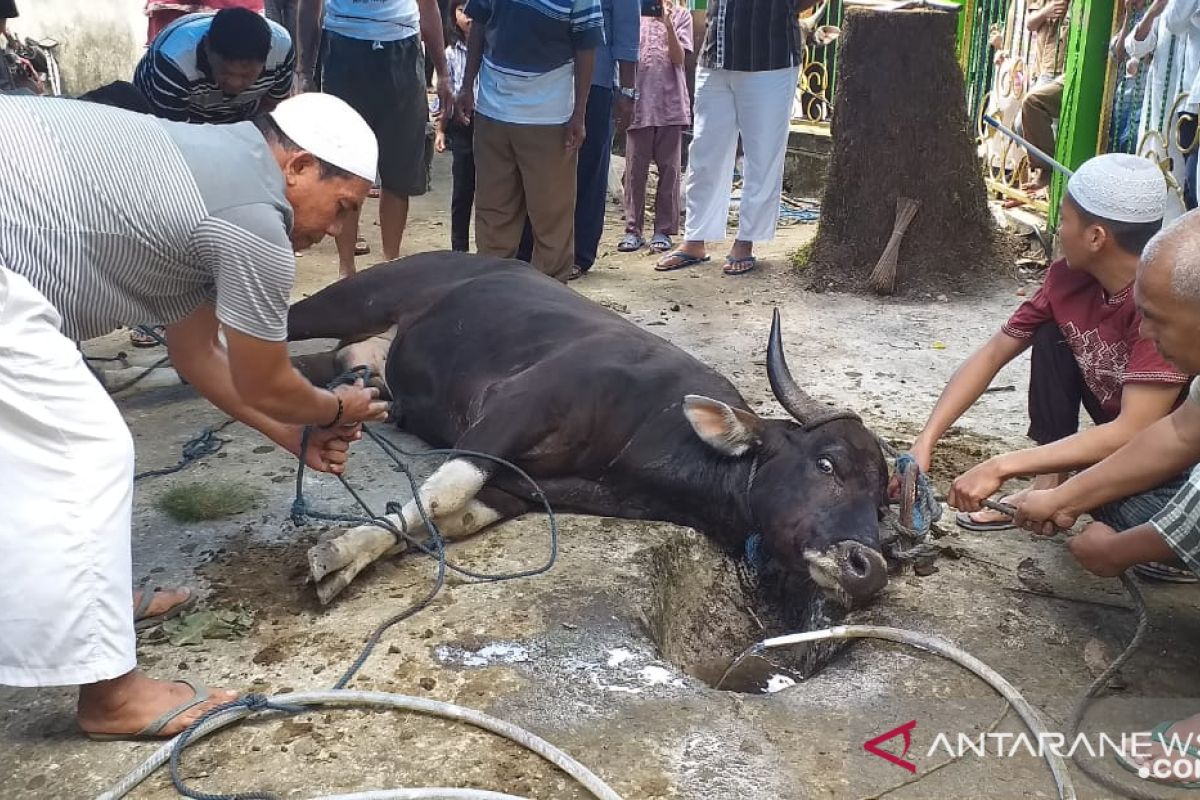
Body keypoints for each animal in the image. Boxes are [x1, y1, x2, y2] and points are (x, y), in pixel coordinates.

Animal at [288, 253, 892, 604]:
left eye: (882, 504)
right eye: (827, 463)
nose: (869, 568)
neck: (649, 430)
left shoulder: (524, 491)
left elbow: (451, 517)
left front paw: (350, 559)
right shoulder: (511, 411)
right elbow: (445, 492)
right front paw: (336, 552)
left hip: (363, 380)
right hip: (352, 299)